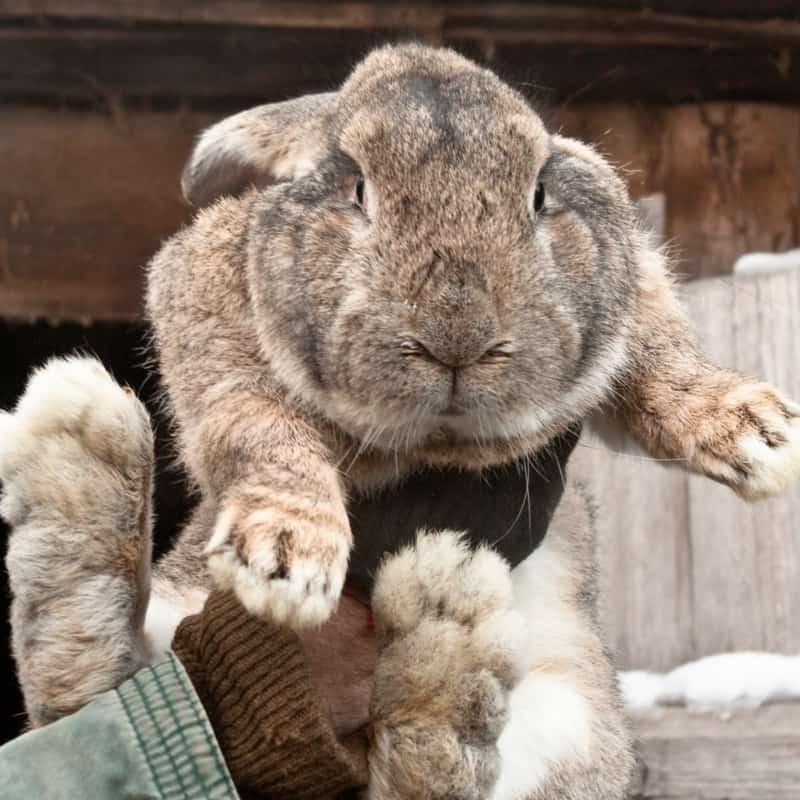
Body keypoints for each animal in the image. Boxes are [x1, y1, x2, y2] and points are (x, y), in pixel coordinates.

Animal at [1, 45, 800, 800]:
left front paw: (760, 437)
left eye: (540, 193)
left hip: (572, 722)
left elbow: (658, 356)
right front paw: (286, 554)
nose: (458, 336)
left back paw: (443, 630)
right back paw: (80, 439)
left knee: (427, 777)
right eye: (358, 189)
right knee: (81, 684)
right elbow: (254, 421)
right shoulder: (208, 306)